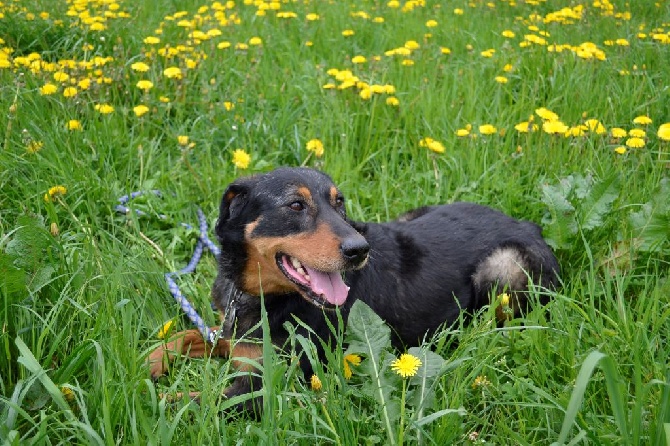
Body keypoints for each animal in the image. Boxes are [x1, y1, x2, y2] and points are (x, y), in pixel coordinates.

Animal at [148, 166, 560, 414]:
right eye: (295, 205)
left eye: (339, 203)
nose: (359, 250)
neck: (262, 295)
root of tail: (529, 225)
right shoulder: (233, 335)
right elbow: (185, 336)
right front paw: (149, 364)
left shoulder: (264, 386)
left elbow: (184, 401)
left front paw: (145, 395)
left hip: (504, 268)